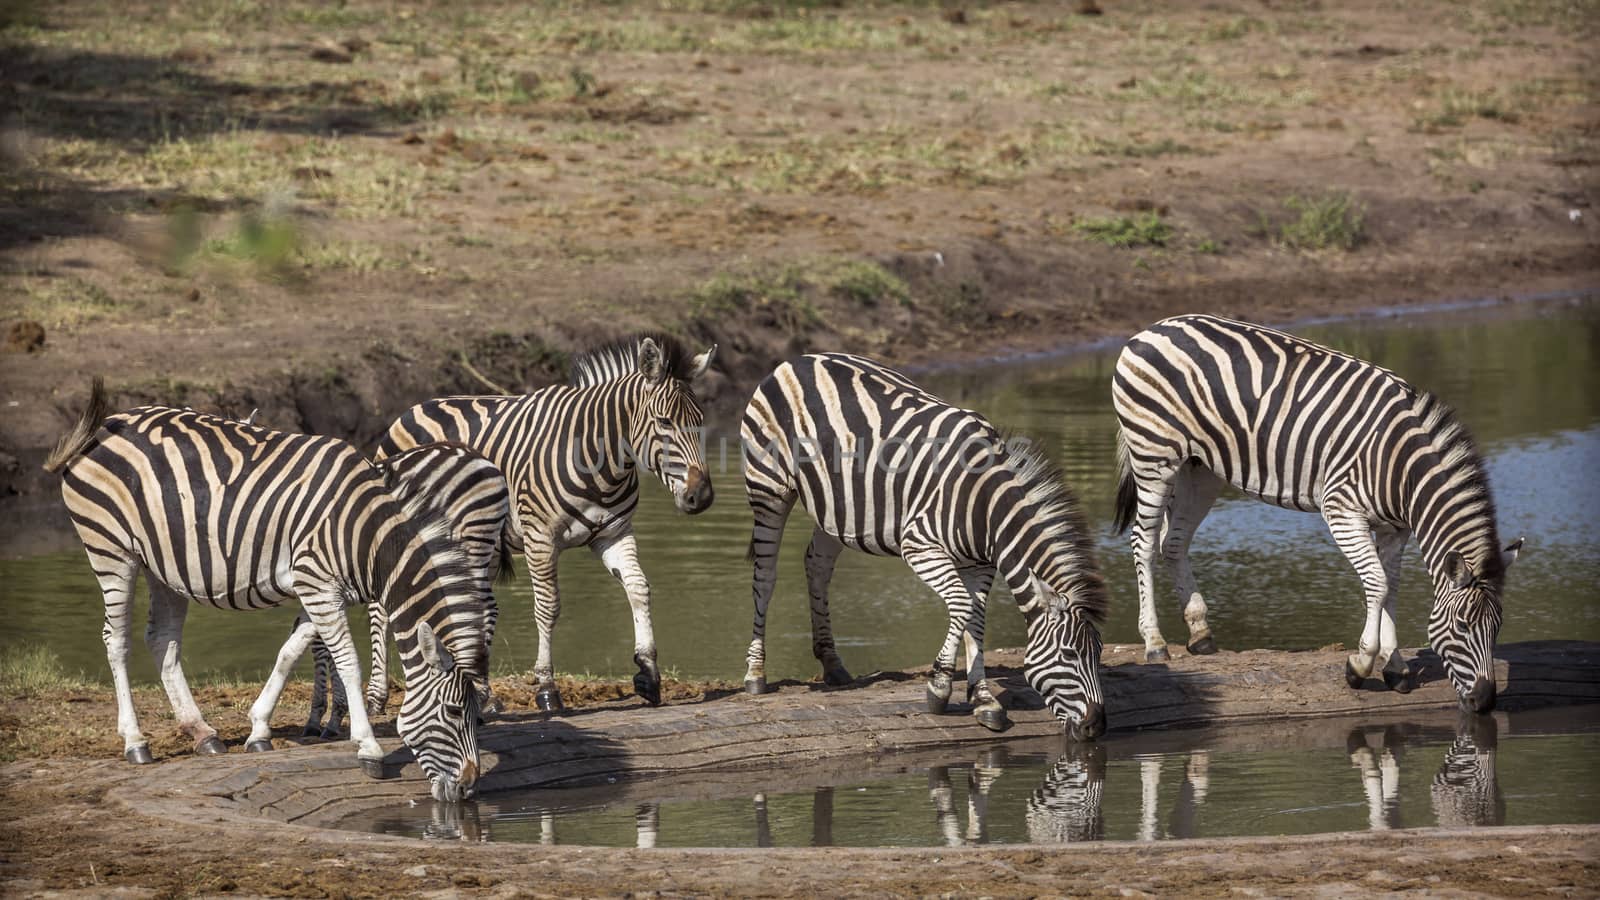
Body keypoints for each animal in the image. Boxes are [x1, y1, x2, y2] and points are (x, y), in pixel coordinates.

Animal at [48, 374, 486, 794]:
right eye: (453, 712)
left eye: (474, 713)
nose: (469, 784)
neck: (365, 534)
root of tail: (103, 425)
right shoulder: (317, 582)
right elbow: (348, 661)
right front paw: (368, 747)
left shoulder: (320, 590)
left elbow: (289, 652)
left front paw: (259, 728)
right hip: (111, 548)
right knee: (116, 640)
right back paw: (135, 742)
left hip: (162, 565)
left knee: (161, 638)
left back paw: (202, 732)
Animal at [291, 438, 508, 736]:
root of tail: (480, 458)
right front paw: (326, 714)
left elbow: (323, 644)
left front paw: (328, 718)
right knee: (487, 606)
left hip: (469, 543)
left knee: (478, 609)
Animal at [374, 333, 713, 704]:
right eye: (664, 421)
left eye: (701, 420)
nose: (702, 497)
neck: (601, 460)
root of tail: (412, 408)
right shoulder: (540, 538)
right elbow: (548, 606)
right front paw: (547, 687)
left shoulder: (613, 532)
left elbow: (638, 587)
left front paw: (648, 672)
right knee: (382, 605)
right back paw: (378, 694)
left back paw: (479, 690)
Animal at [742, 350, 1107, 736]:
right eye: (1069, 654)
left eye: (1099, 653)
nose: (1097, 726)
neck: (985, 506)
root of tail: (801, 358)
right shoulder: (920, 547)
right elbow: (961, 606)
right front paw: (940, 689)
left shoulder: (980, 563)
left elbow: (976, 618)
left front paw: (983, 699)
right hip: (768, 487)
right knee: (765, 578)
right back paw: (756, 674)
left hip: (836, 508)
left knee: (817, 567)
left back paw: (832, 663)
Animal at [1113, 313, 1523, 707]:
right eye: (1463, 626)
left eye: (1498, 627)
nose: (1485, 700)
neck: (1403, 468)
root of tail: (1153, 328)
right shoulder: (1341, 512)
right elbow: (1377, 583)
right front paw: (1360, 665)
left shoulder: (1395, 527)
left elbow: (1390, 588)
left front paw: (1395, 668)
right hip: (1154, 457)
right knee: (1143, 543)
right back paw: (1155, 643)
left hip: (1199, 469)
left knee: (1173, 542)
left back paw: (1200, 633)